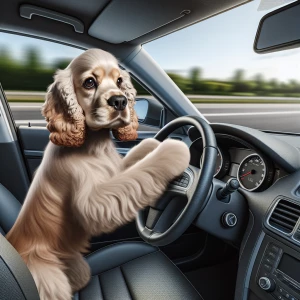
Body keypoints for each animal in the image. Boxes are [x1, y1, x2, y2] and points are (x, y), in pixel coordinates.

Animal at [5, 48, 190, 298]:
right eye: (90, 82)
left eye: (120, 81)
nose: (120, 101)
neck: (94, 143)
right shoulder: (93, 202)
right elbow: (138, 176)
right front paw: (174, 149)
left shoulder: (113, 170)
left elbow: (137, 162)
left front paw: (154, 144)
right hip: (48, 278)